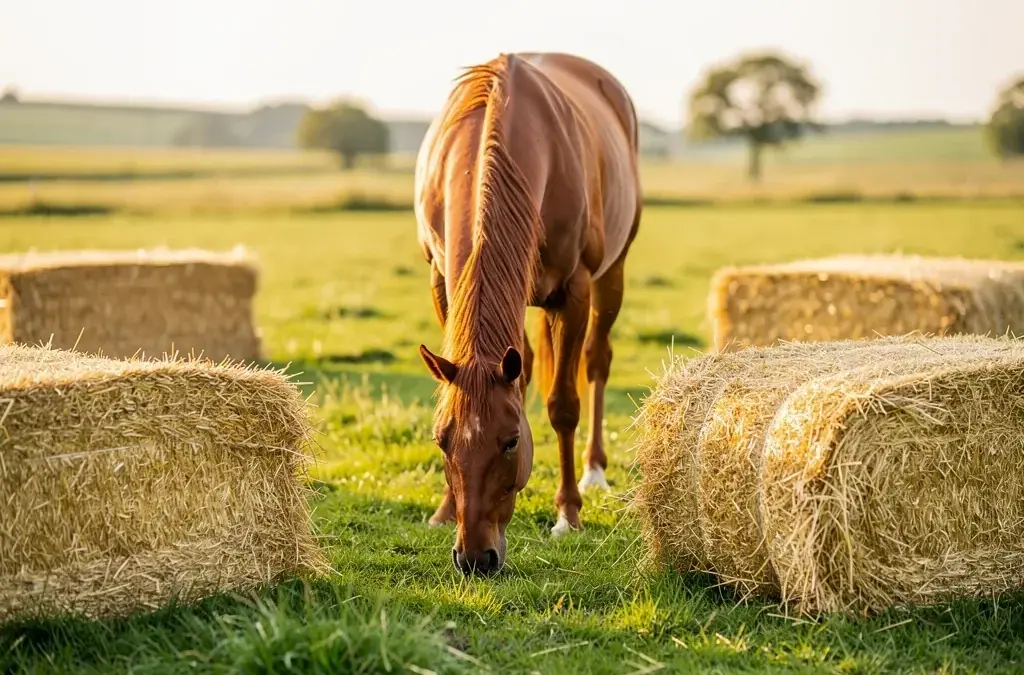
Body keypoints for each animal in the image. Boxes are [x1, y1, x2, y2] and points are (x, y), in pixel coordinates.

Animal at [414, 52, 642, 576]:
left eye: (512, 441)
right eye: (441, 441)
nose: (474, 559)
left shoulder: (575, 291)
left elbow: (563, 405)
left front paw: (568, 514)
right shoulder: (441, 279)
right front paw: (442, 510)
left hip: (612, 274)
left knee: (596, 361)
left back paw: (594, 471)